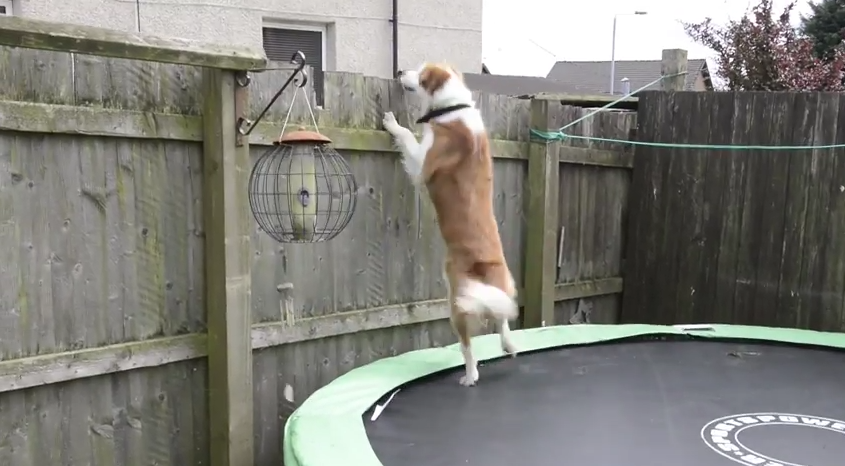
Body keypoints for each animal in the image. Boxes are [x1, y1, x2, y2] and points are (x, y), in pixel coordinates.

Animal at [384, 63, 516, 388]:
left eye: (420, 76)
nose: (400, 70)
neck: (452, 107)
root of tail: (484, 265)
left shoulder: (422, 163)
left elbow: (407, 135)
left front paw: (392, 122)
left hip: (457, 303)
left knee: (468, 347)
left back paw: (470, 375)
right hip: (497, 290)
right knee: (502, 319)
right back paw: (508, 345)